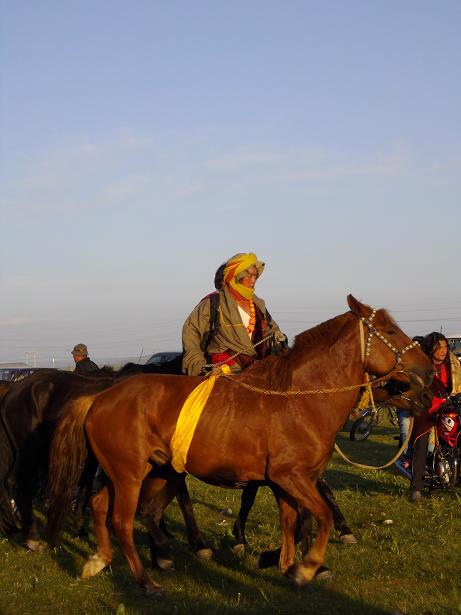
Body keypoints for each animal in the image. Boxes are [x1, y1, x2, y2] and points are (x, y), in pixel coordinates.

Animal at [45, 296, 432, 596]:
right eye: (391, 331)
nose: (429, 373)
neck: (299, 398)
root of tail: (99, 397)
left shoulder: (285, 484)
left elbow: (292, 523)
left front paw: (285, 565)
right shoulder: (291, 477)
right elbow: (319, 516)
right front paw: (307, 567)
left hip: (141, 472)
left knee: (103, 506)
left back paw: (101, 559)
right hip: (130, 475)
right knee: (123, 520)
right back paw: (145, 579)